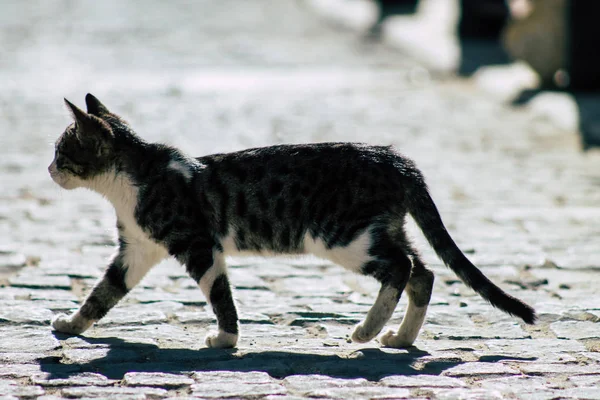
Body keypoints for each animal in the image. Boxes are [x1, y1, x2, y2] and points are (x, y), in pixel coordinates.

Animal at [50, 95, 536, 348]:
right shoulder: (136, 248)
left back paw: (368, 329)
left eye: (60, 152)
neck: (133, 181)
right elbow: (103, 293)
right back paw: (398, 337)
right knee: (424, 271)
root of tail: (396, 160)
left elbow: (219, 293)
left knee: (402, 268)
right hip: (381, 228)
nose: (49, 169)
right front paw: (72, 325)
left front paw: (226, 338)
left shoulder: (198, 244)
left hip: (342, 236)